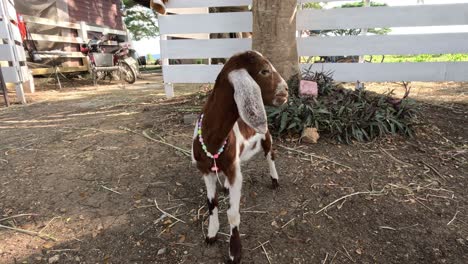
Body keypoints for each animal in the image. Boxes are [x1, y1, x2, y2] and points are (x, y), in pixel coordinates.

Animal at [191, 50, 288, 262]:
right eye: (264, 70)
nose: (286, 90)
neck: (213, 140)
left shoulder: (234, 170)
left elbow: (233, 213)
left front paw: (235, 252)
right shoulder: (205, 170)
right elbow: (211, 204)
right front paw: (211, 234)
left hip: (267, 138)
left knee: (270, 156)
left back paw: (275, 180)